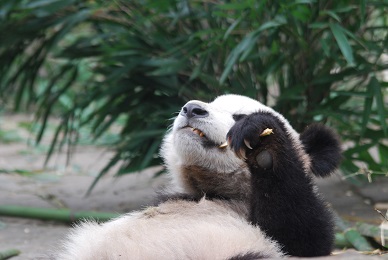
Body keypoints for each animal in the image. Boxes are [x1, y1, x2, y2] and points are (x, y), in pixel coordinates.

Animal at [56, 94, 342, 258]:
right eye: (211, 104)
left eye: (239, 115)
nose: (192, 109)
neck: (216, 191)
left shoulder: (285, 234)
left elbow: (304, 230)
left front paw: (264, 147)